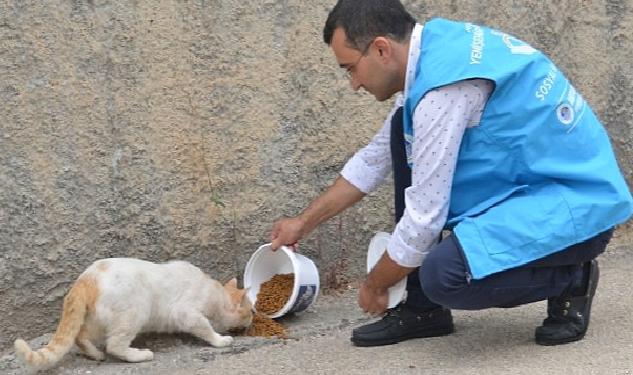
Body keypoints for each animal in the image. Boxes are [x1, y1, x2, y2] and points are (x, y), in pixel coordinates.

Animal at [14, 258, 252, 374]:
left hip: (97, 319)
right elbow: (206, 328)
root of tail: (84, 279)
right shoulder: (186, 313)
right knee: (114, 345)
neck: (217, 293)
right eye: (251, 311)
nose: (252, 319)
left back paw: (95, 354)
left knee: (80, 336)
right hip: (134, 312)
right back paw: (140, 355)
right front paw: (220, 340)